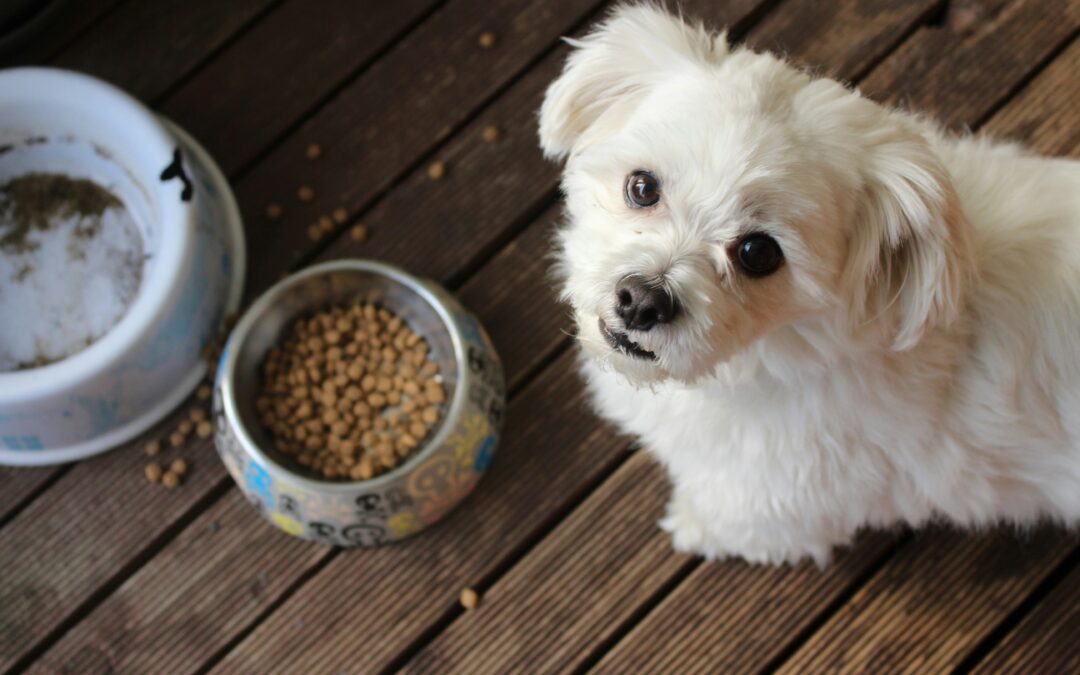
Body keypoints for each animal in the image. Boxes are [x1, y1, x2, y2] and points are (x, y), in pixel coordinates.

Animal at [544, 3, 1080, 561]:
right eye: (642, 186)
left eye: (759, 253)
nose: (641, 301)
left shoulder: (780, 503)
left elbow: (731, 520)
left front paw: (690, 524)